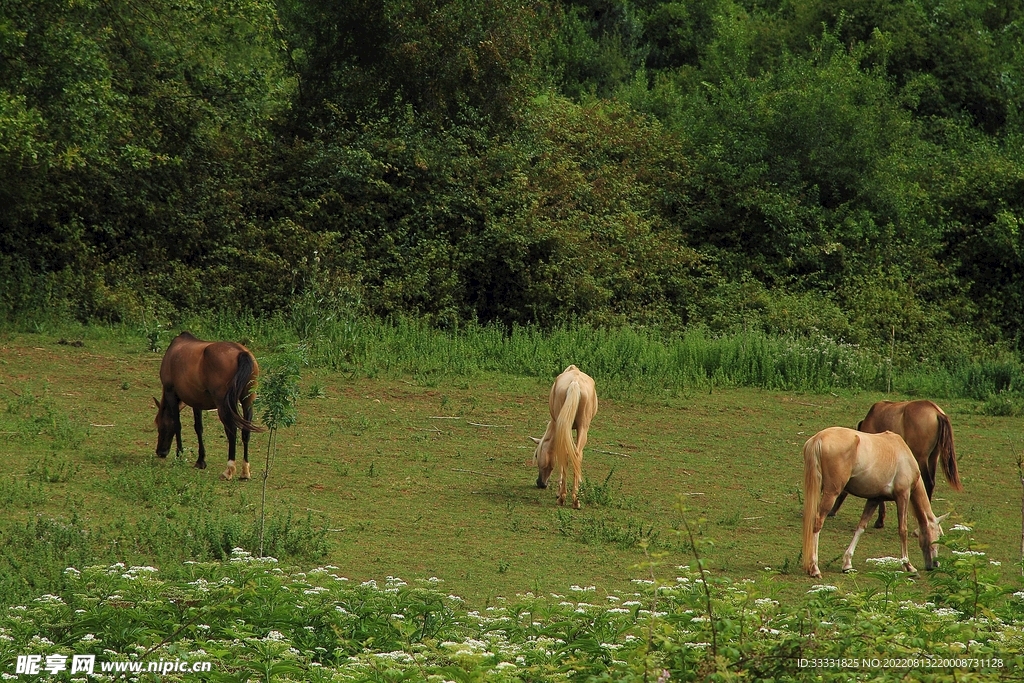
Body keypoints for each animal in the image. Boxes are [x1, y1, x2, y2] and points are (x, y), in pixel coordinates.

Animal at [153, 331, 264, 481]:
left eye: (160, 425)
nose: (161, 452)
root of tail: (241, 353)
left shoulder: (171, 393)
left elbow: (177, 425)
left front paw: (179, 455)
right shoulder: (196, 401)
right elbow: (199, 428)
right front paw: (201, 460)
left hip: (223, 405)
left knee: (232, 431)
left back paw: (229, 470)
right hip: (247, 402)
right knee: (246, 432)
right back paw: (245, 471)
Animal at [532, 366, 598, 509]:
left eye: (536, 455)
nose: (540, 483)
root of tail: (575, 383)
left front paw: (558, 492)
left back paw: (562, 497)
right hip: (583, 428)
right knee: (577, 455)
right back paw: (575, 500)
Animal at [798, 430, 950, 581]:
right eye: (938, 537)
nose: (935, 565)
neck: (904, 455)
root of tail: (818, 438)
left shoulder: (874, 500)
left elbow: (860, 528)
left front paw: (847, 564)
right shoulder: (903, 496)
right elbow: (903, 530)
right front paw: (909, 566)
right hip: (831, 494)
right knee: (817, 524)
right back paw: (815, 568)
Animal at [827, 401, 962, 528]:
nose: (831, 512)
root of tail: (937, 412)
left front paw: (880, 520)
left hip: (921, 458)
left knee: (928, 483)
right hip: (933, 457)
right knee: (932, 483)